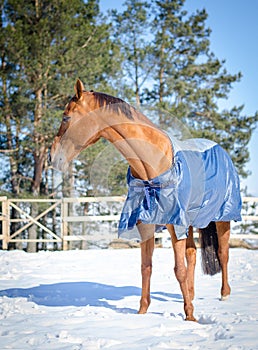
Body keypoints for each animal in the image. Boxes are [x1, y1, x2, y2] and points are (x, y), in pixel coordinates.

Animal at [51, 78, 242, 320]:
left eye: (66, 117)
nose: (52, 157)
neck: (153, 164)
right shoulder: (146, 224)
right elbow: (146, 267)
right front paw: (142, 313)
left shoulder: (174, 224)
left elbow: (178, 269)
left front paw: (190, 317)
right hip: (188, 223)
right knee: (192, 254)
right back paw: (191, 294)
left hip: (222, 217)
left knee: (223, 253)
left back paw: (224, 294)